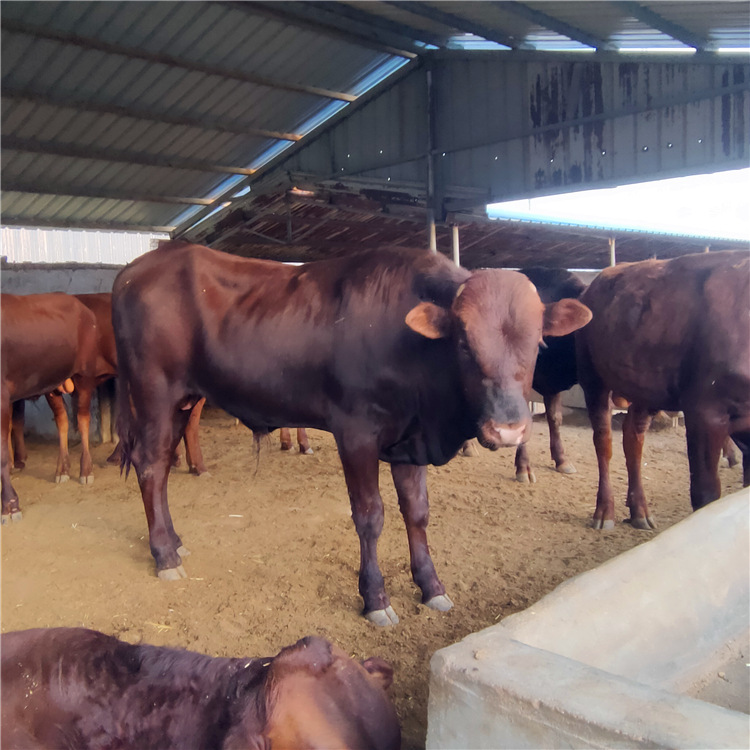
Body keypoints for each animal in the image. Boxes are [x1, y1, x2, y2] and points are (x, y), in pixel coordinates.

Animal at [111, 244, 592, 624]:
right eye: (463, 343)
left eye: (538, 343)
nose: (508, 430)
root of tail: (133, 270)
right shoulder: (356, 433)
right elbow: (370, 516)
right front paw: (375, 597)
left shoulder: (409, 442)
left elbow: (417, 512)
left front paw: (431, 586)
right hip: (154, 393)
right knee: (150, 465)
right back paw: (164, 555)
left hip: (181, 401)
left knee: (161, 466)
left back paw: (174, 542)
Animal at [580, 251, 748, 528]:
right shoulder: (704, 412)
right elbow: (706, 494)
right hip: (593, 381)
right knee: (603, 441)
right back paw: (604, 512)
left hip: (644, 389)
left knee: (633, 437)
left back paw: (639, 511)